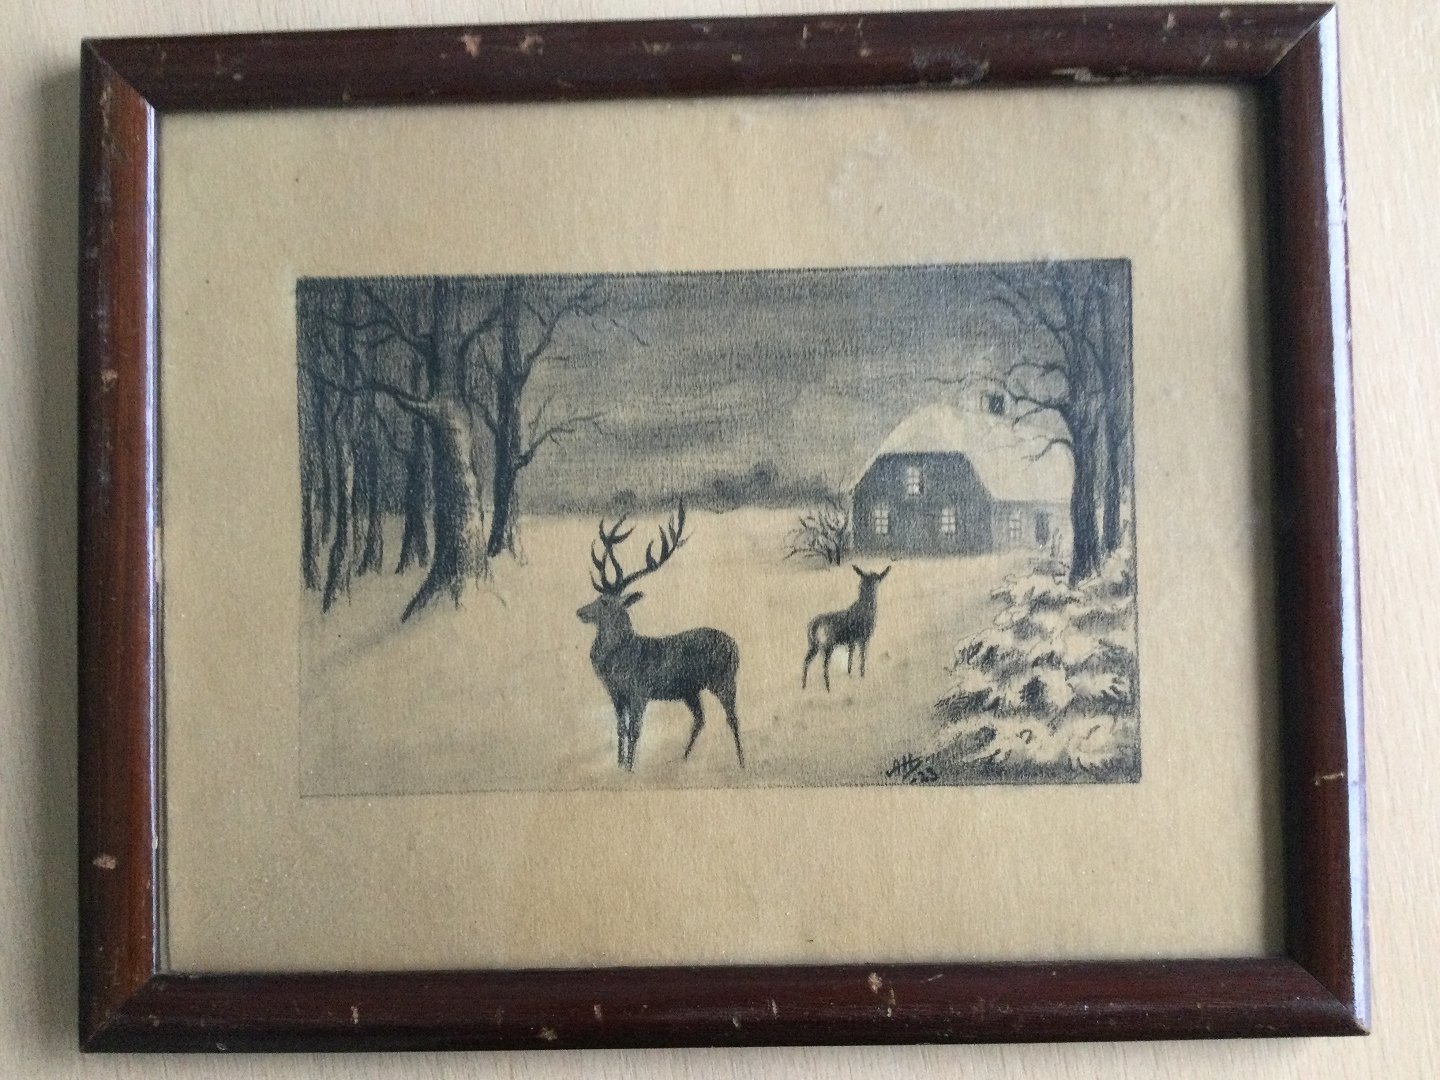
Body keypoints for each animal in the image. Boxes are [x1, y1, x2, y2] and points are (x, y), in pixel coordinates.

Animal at [576, 502, 744, 772]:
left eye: (605, 602)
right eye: (597, 596)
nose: (579, 612)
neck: (617, 661)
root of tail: (735, 645)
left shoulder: (639, 691)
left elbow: (634, 731)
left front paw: (630, 769)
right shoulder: (616, 694)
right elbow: (620, 729)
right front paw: (619, 766)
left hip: (724, 679)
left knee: (732, 717)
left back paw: (741, 762)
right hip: (690, 690)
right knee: (700, 719)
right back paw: (682, 758)